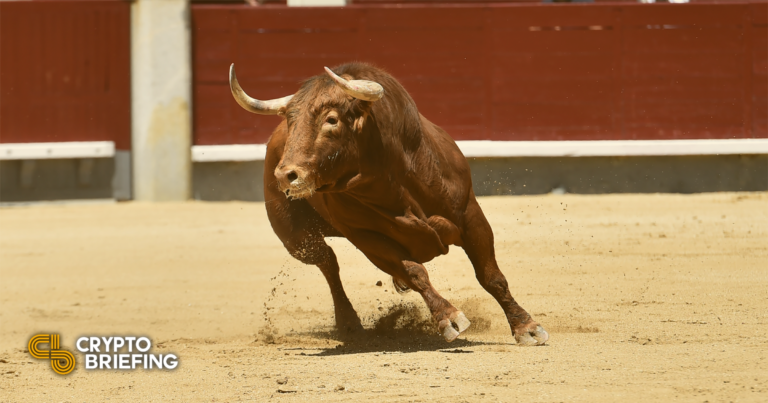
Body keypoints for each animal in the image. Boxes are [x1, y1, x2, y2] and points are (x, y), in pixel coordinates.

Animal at [229, 62, 548, 345]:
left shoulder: (471, 215)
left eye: (331, 119)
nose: (286, 176)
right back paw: (350, 324)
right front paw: (449, 317)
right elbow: (415, 271)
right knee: (328, 263)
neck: (393, 181)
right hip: (296, 239)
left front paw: (527, 327)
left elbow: (490, 275)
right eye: (290, 120)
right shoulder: (368, 239)